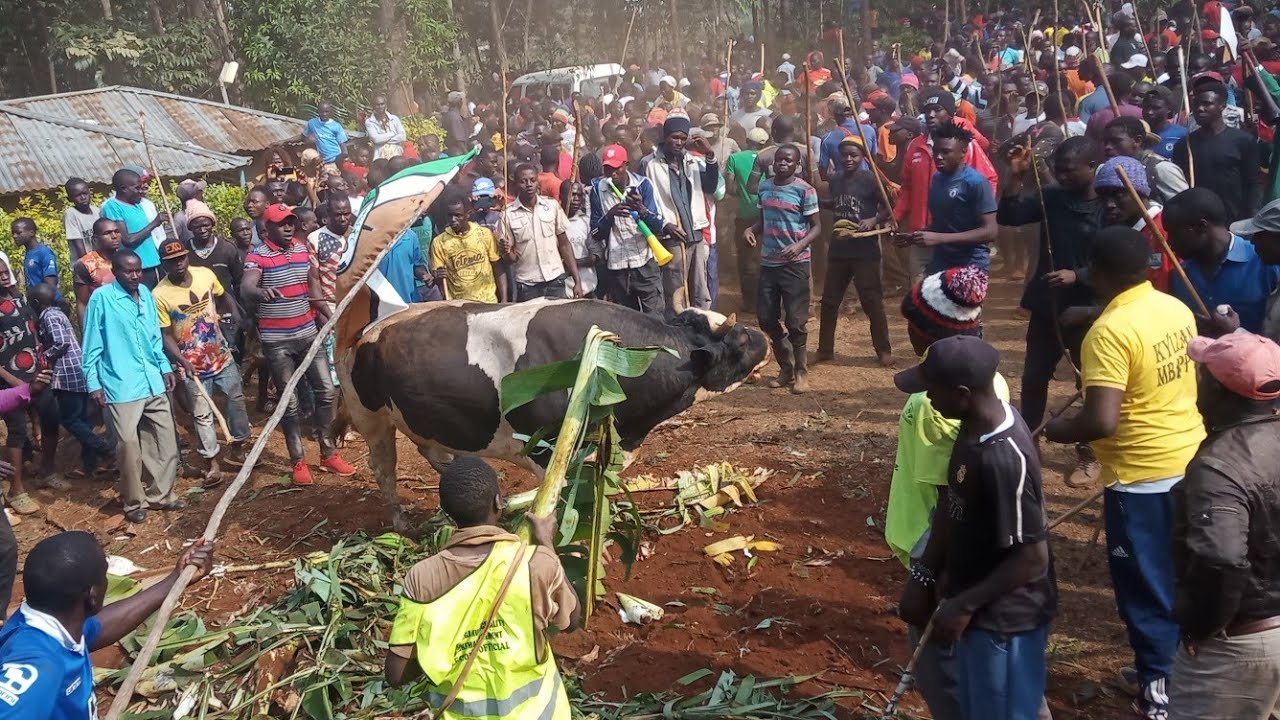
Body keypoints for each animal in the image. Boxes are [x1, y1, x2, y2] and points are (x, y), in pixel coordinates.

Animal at [336, 299, 770, 532]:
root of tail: (367, 330)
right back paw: (400, 523)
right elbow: (557, 499)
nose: (764, 337)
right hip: (372, 420)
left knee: (434, 453)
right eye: (740, 340)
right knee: (384, 471)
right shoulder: (547, 450)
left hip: (421, 422)